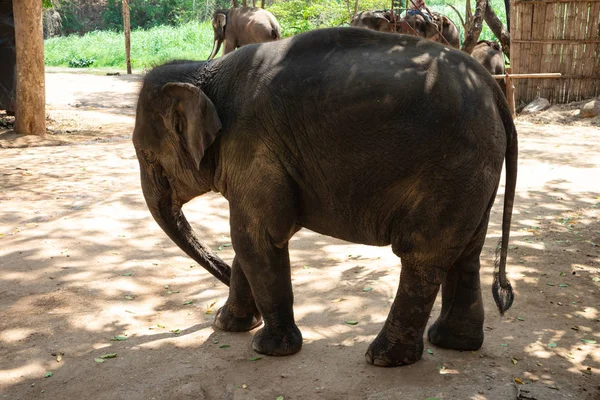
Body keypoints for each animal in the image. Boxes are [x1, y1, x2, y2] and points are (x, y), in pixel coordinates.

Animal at [134, 26, 516, 368]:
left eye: (148, 157)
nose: (221, 275)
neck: (203, 72)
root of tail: (492, 88)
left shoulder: (253, 145)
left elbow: (256, 237)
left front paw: (267, 348)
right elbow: (249, 237)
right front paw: (228, 325)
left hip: (452, 167)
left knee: (421, 253)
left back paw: (384, 359)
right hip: (475, 171)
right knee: (466, 251)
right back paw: (455, 344)